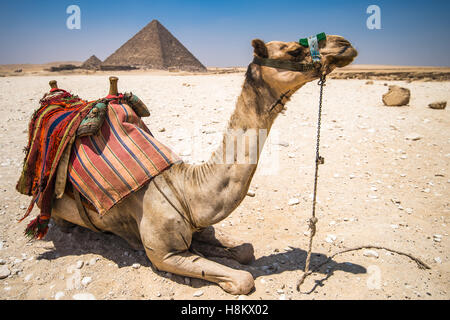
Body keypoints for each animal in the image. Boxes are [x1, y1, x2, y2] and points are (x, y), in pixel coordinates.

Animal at [50, 35, 358, 296]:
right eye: (294, 50)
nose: (345, 44)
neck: (185, 190)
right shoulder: (164, 255)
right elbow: (244, 278)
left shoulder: (200, 226)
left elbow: (245, 250)